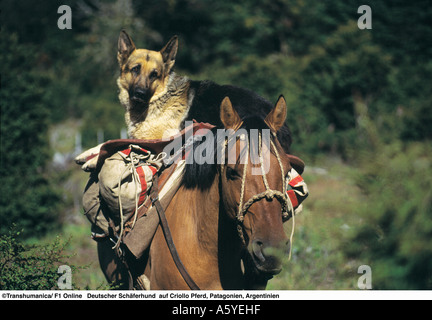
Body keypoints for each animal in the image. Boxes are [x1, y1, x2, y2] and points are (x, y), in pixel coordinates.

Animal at [78, 31, 294, 171]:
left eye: (154, 74)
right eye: (135, 69)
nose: (139, 93)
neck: (158, 97)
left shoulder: (158, 138)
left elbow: (117, 141)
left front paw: (93, 159)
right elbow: (116, 139)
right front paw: (88, 154)